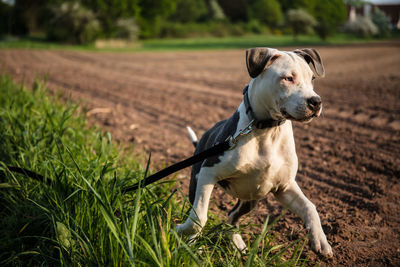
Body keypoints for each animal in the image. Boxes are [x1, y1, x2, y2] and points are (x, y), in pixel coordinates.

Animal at [177, 47, 332, 258]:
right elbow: (198, 217)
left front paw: (320, 240)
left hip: (251, 197)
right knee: (201, 211)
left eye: (313, 78)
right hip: (197, 180)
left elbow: (310, 207)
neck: (267, 129)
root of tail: (205, 135)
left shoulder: (284, 187)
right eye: (288, 78)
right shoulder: (208, 172)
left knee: (231, 217)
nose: (316, 102)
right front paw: (181, 231)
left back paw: (238, 245)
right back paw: (194, 246)